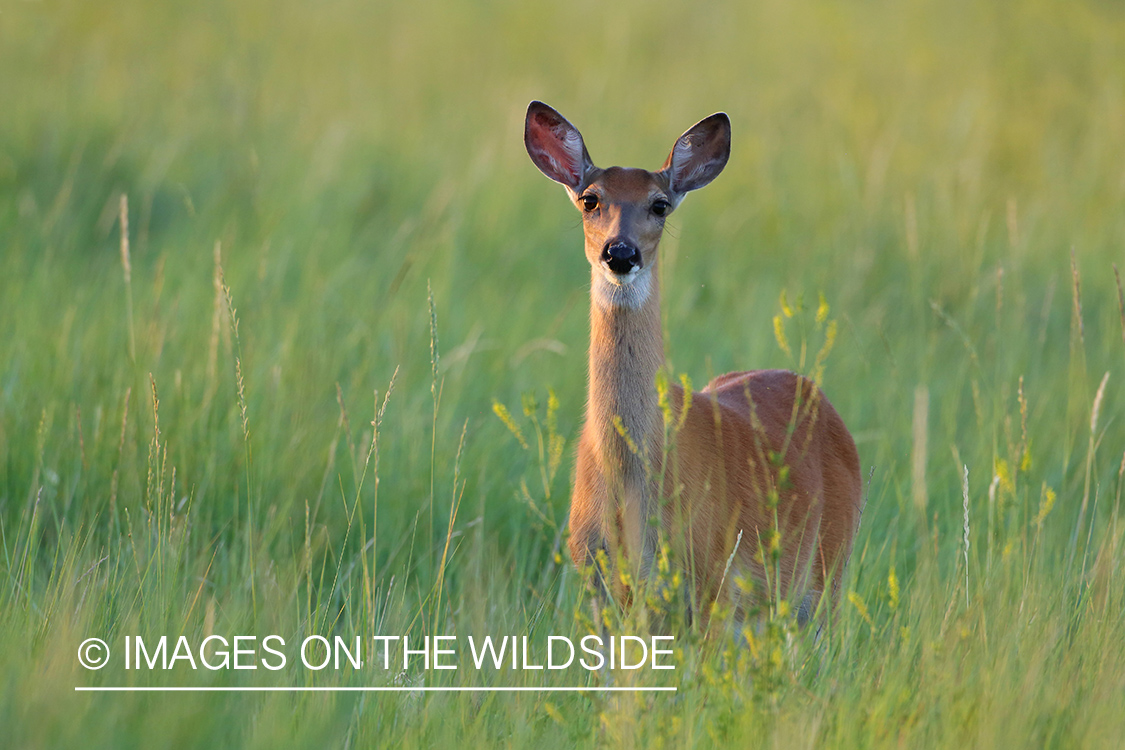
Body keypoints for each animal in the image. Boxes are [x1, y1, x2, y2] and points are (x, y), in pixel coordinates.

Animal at [524, 99, 859, 629]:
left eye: (660, 204)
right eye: (590, 200)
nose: (620, 252)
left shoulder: (710, 581)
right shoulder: (594, 577)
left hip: (825, 578)